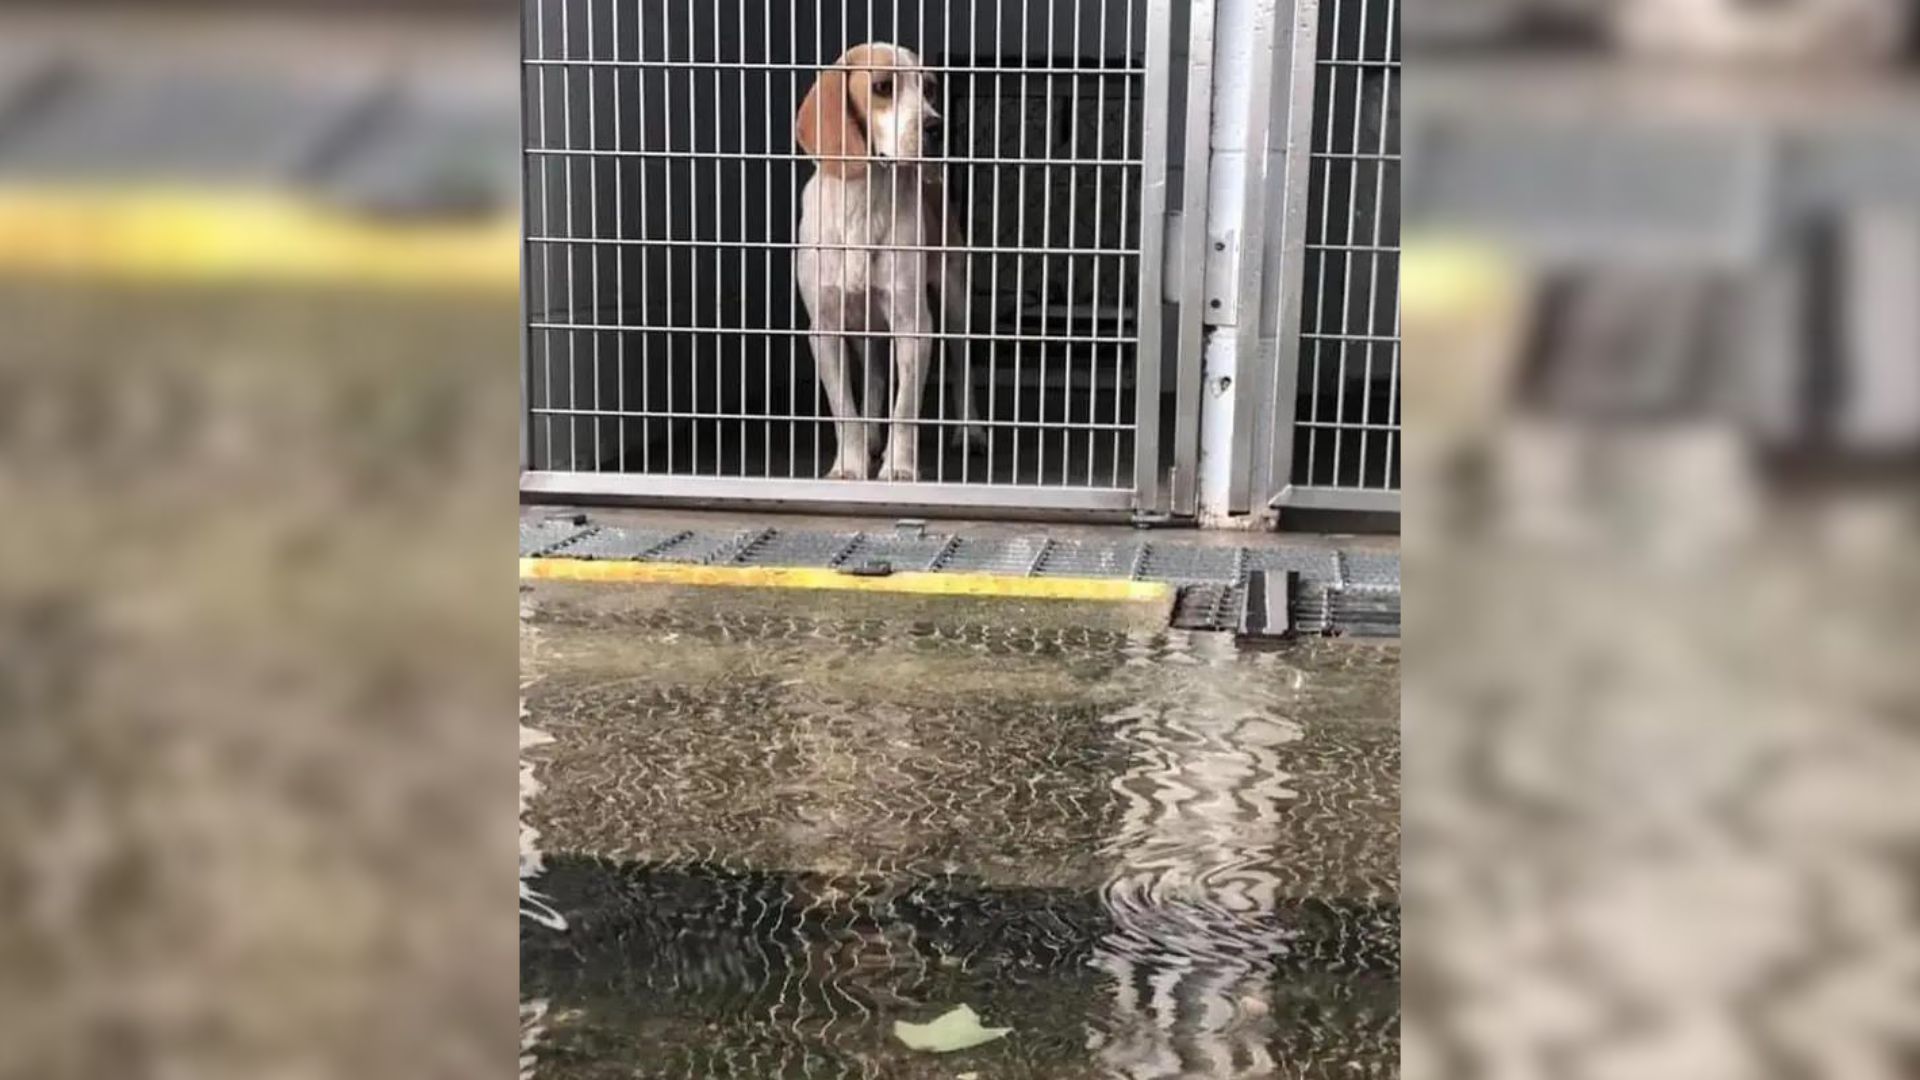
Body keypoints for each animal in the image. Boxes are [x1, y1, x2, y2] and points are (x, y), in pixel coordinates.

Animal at [791, 42, 983, 478]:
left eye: (929, 88)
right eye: (882, 87)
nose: (936, 127)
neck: (864, 200)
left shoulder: (915, 326)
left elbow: (905, 408)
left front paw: (900, 469)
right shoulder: (825, 328)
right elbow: (844, 410)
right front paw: (850, 464)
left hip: (954, 299)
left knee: (962, 366)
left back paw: (970, 431)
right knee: (876, 376)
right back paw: (870, 440)